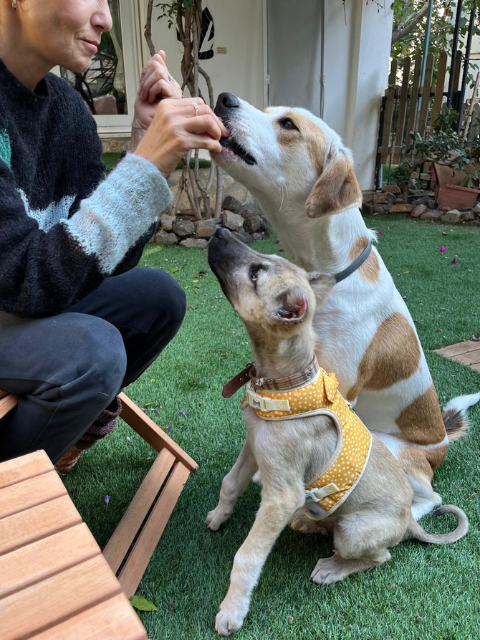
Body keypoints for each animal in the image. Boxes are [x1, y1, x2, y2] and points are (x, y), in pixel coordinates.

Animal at [206, 228, 468, 636]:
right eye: (261, 262)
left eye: (255, 273)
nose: (219, 230)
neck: (283, 383)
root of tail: (408, 519)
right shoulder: (254, 446)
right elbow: (230, 483)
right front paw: (219, 516)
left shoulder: (281, 494)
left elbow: (247, 556)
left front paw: (232, 611)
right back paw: (308, 521)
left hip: (355, 532)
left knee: (381, 555)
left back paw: (332, 567)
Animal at [211, 93, 480, 520]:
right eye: (270, 111)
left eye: (288, 124)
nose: (224, 98)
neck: (326, 276)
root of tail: (440, 443)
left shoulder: (335, 395)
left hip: (391, 450)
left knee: (425, 498)